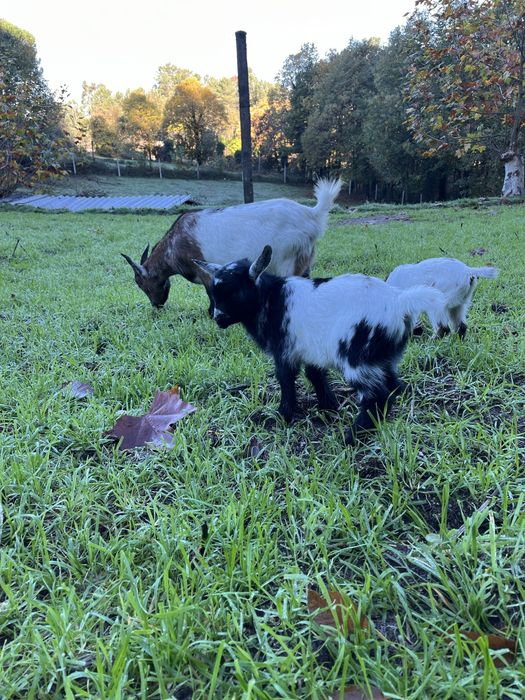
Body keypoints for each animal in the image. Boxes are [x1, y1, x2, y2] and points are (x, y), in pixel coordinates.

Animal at [121, 178, 342, 311]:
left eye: (140, 283)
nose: (156, 305)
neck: (174, 245)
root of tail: (311, 215)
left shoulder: (202, 268)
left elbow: (211, 294)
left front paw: (212, 313)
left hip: (287, 259)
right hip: (304, 260)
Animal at [194, 246, 450, 445]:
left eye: (234, 292)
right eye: (214, 293)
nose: (218, 318)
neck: (270, 298)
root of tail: (399, 302)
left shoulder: (284, 350)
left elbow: (286, 379)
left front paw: (282, 415)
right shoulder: (310, 349)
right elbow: (315, 375)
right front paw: (329, 407)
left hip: (356, 356)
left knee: (377, 395)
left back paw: (353, 436)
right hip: (383, 356)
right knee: (395, 386)